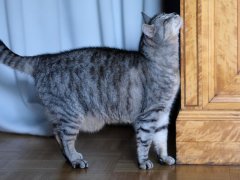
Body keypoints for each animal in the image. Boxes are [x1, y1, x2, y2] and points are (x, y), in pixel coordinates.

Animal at [0, 12, 182, 169]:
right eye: (166, 19)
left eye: (168, 14)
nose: (175, 13)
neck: (169, 65)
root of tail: (45, 58)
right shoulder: (149, 114)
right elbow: (145, 141)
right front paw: (143, 162)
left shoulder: (163, 113)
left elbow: (161, 139)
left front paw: (164, 157)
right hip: (71, 114)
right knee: (65, 138)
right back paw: (75, 159)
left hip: (60, 113)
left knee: (57, 133)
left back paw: (70, 159)